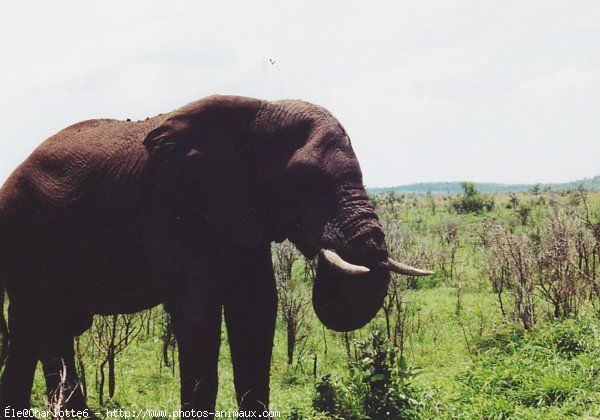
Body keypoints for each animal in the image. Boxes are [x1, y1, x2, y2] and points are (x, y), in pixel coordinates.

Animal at [0, 94, 432, 414]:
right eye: (303, 181)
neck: (260, 111)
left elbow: (255, 306)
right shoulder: (170, 202)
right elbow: (197, 307)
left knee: (32, 327)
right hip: (27, 234)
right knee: (48, 320)